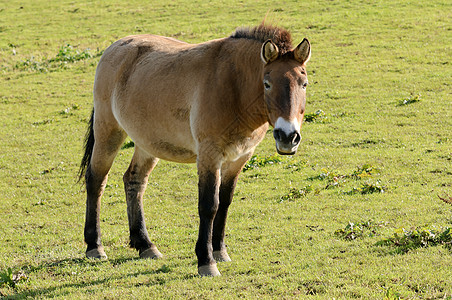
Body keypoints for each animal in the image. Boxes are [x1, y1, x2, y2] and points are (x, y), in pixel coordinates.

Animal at [78, 24, 310, 276]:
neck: (233, 87)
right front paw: (206, 261)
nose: (288, 137)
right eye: (267, 83)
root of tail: (115, 47)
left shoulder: (238, 158)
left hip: (147, 144)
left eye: (304, 84)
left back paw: (145, 245)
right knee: (96, 180)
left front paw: (220, 251)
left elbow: (225, 202)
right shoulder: (209, 156)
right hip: (108, 132)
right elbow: (209, 205)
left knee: (134, 181)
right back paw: (95, 246)